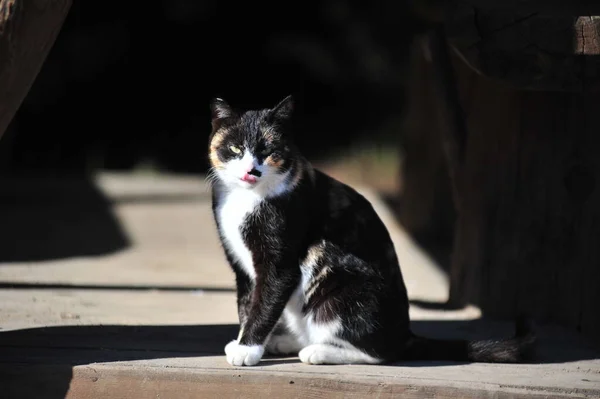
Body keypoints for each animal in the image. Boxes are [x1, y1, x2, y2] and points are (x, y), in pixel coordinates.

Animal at [207, 95, 536, 368]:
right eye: (235, 148)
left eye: (268, 150)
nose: (251, 170)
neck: (246, 199)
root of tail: (405, 334)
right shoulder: (241, 265)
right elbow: (248, 303)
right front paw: (244, 342)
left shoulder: (281, 261)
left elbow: (265, 301)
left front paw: (247, 350)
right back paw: (289, 340)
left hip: (337, 277)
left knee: (381, 353)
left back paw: (318, 351)